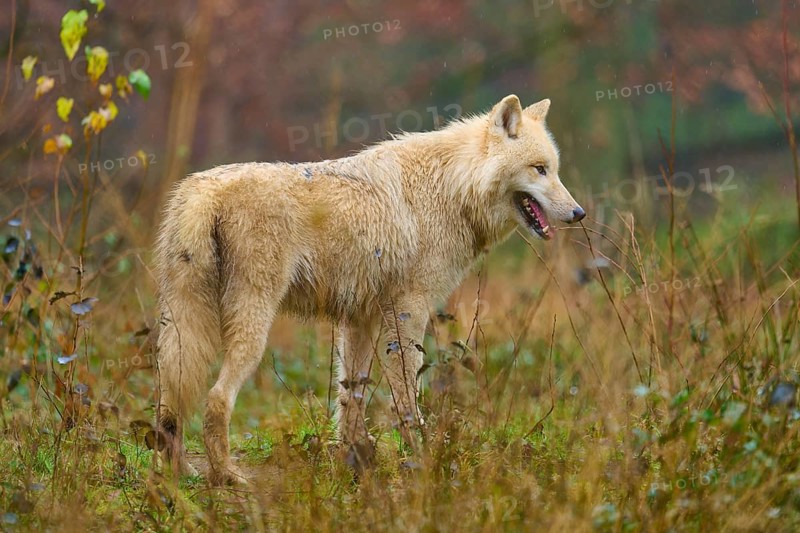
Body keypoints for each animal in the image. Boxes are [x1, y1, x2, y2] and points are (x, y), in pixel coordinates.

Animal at [154, 94, 585, 485]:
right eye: (539, 169)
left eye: (556, 170)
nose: (579, 213)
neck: (453, 189)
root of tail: (203, 191)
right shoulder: (408, 311)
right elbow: (408, 395)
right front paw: (422, 456)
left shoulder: (357, 320)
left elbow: (351, 398)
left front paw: (351, 461)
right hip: (252, 329)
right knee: (215, 400)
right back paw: (226, 475)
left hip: (182, 330)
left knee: (169, 403)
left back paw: (180, 474)